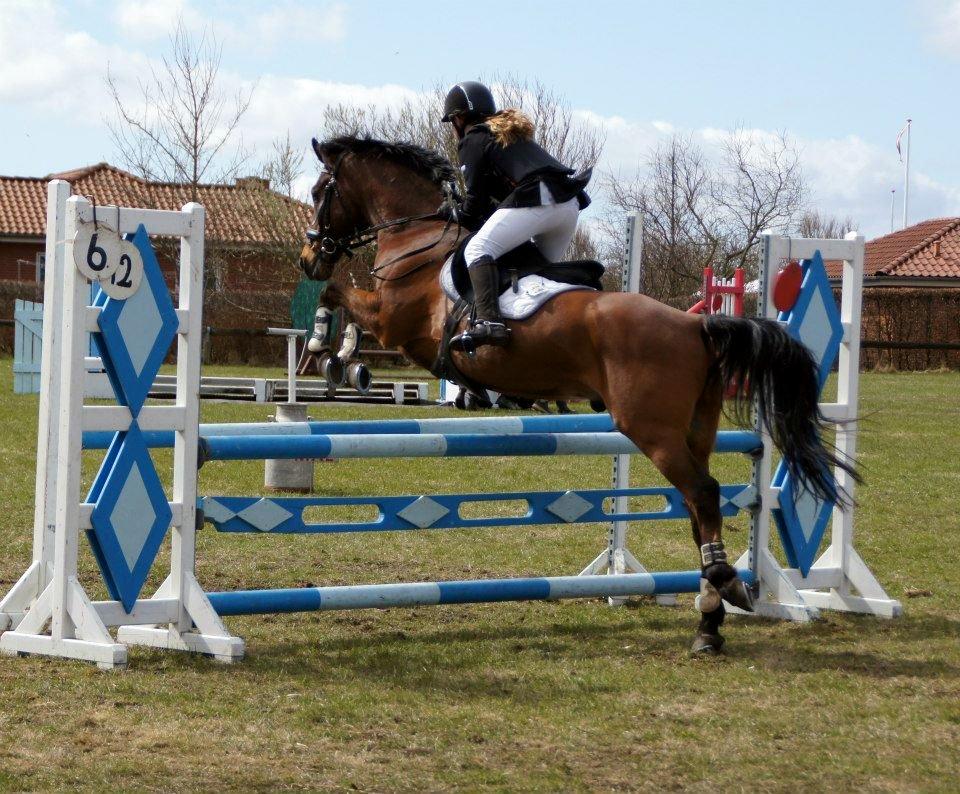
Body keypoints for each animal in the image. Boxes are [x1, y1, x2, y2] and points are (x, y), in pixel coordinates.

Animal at [298, 135, 855, 653]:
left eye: (322, 191)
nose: (308, 258)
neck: (417, 236)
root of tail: (697, 326)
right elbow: (340, 298)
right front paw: (334, 353)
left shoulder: (394, 321)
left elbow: (338, 298)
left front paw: (330, 353)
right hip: (697, 427)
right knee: (699, 506)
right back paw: (709, 622)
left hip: (651, 430)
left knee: (702, 492)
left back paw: (724, 588)